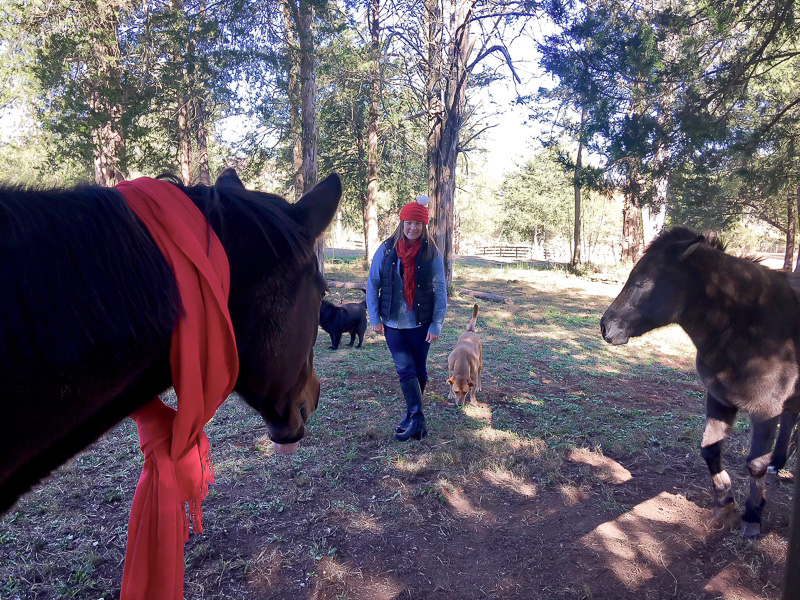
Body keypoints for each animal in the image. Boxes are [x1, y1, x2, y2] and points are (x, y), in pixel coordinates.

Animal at [604, 227, 796, 536]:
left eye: (642, 281)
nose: (605, 327)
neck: (747, 325)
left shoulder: (766, 411)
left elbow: (755, 464)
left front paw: (753, 516)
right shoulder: (719, 399)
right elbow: (710, 449)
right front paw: (725, 504)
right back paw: (778, 465)